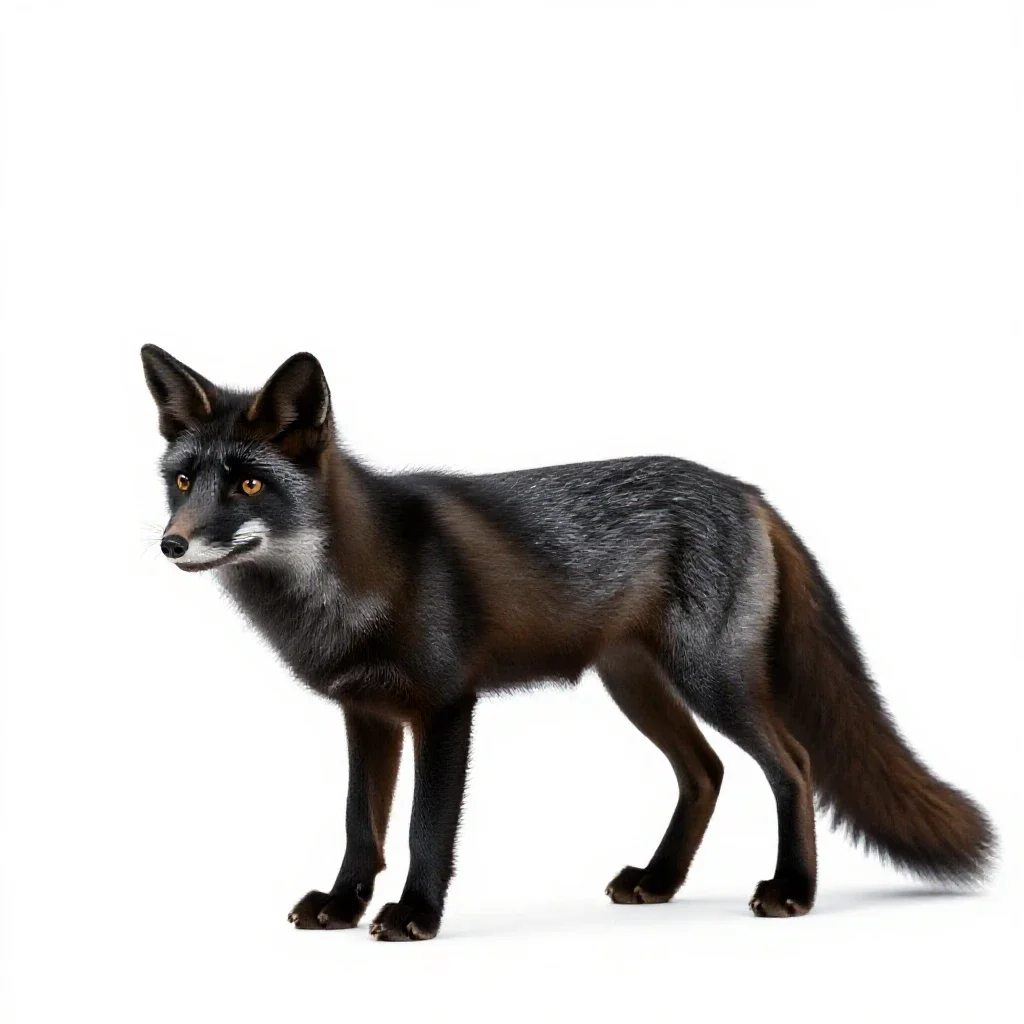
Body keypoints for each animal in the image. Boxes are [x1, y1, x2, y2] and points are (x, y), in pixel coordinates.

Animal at [142, 344, 994, 941]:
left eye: (249, 484)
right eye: (183, 481)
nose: (171, 544)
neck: (349, 585)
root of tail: (746, 490)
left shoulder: (446, 707)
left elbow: (423, 830)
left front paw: (415, 915)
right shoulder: (368, 714)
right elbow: (362, 824)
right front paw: (344, 904)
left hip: (712, 679)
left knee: (795, 765)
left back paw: (793, 891)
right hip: (637, 684)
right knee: (707, 772)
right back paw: (659, 881)